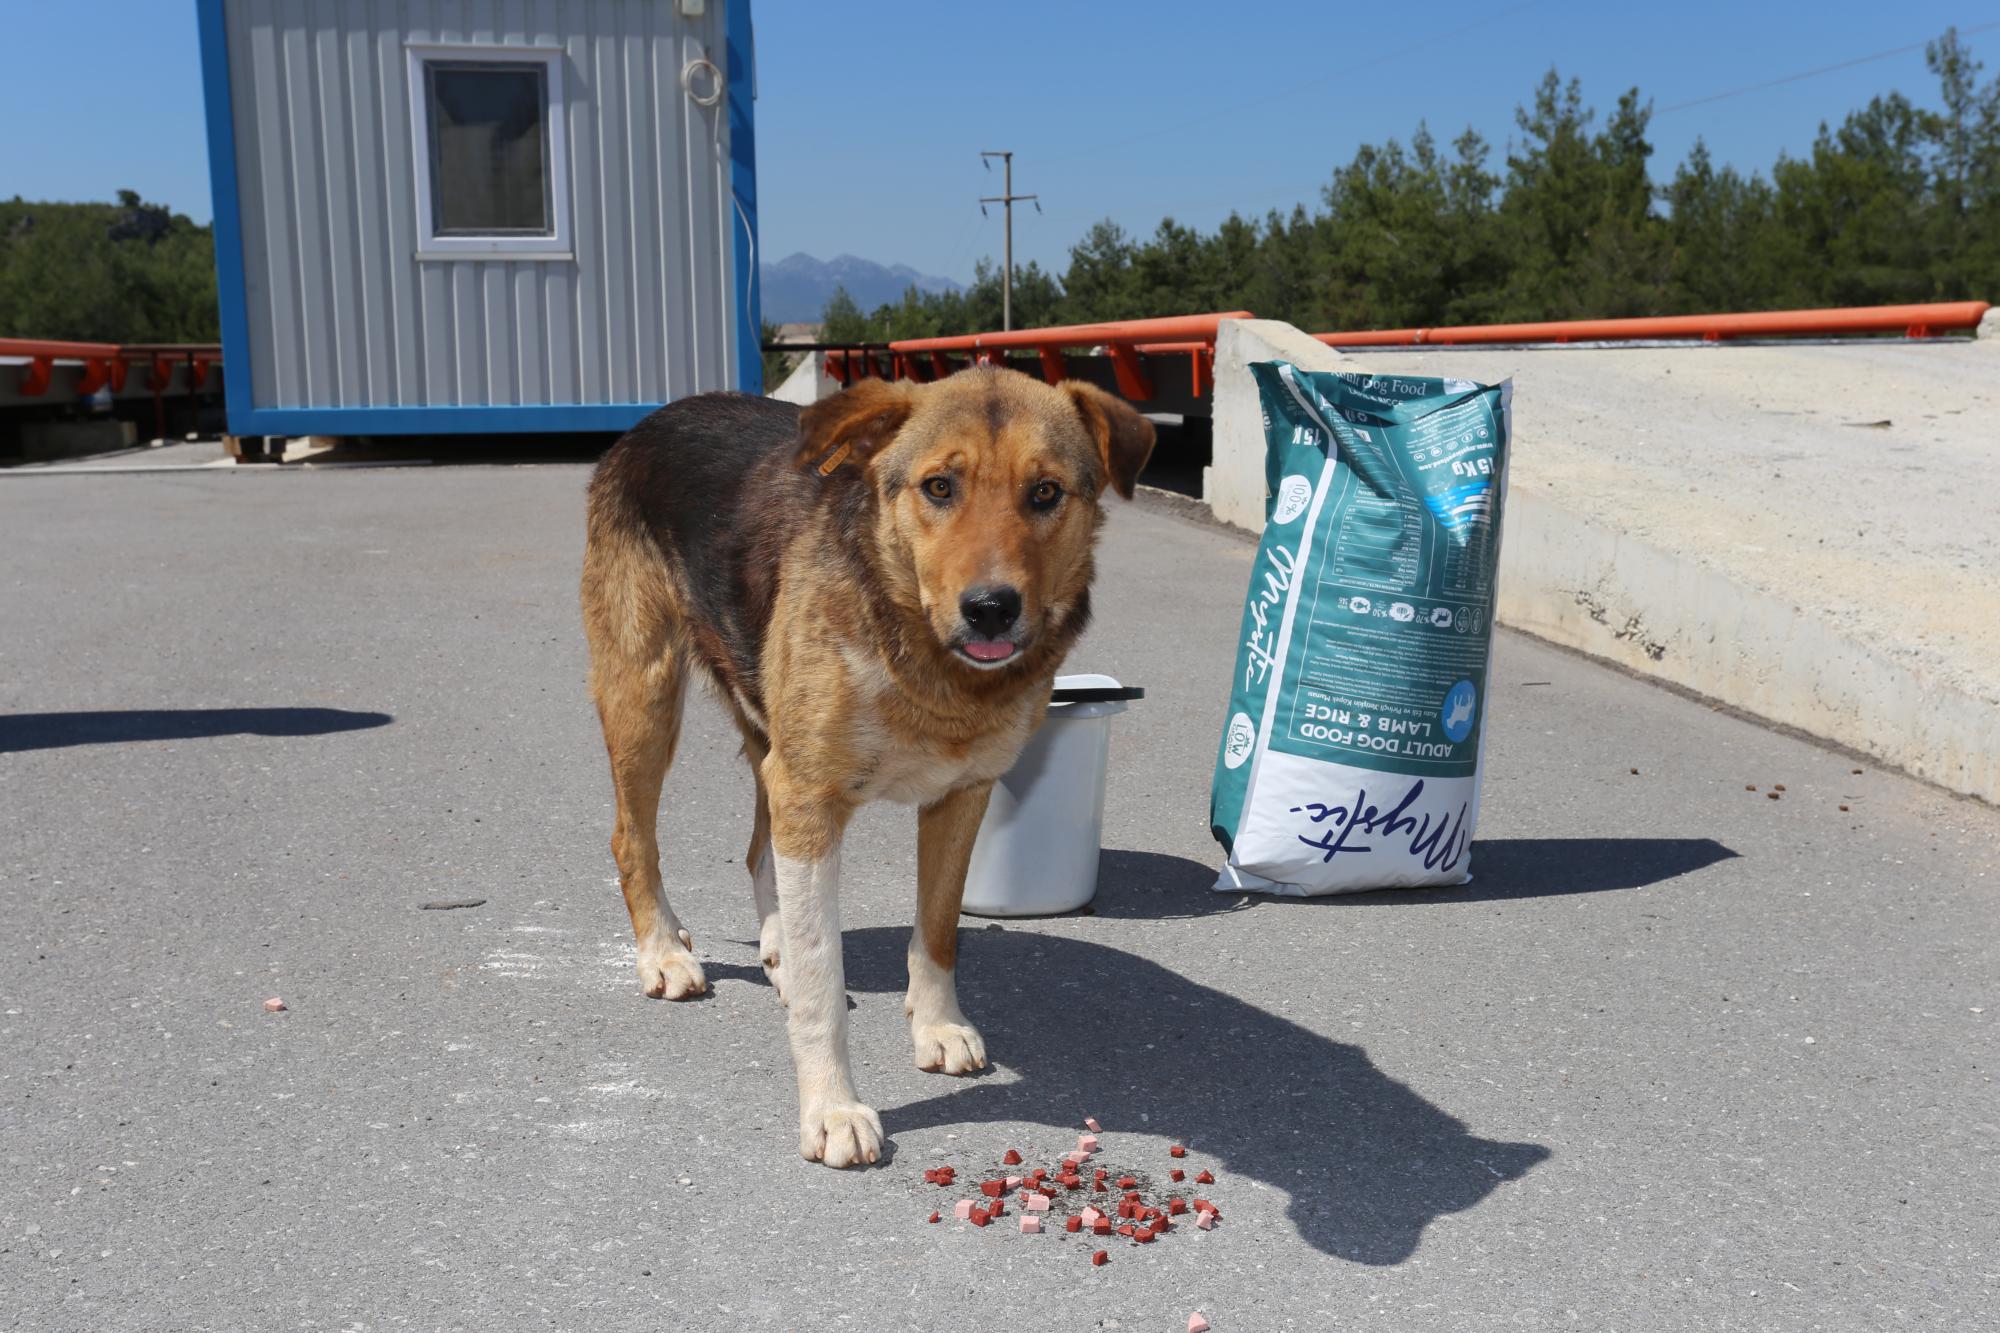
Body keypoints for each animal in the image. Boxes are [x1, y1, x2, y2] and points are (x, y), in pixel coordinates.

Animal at [580, 366, 1152, 1160]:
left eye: (1045, 492)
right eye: (939, 486)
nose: (991, 609)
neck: (931, 666)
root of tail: (656, 418)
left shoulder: (962, 794)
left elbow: (938, 929)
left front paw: (938, 1025)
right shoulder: (810, 793)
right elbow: (825, 976)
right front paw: (832, 1106)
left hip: (766, 730)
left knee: (757, 848)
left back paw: (775, 949)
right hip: (645, 693)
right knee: (631, 837)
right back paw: (664, 953)